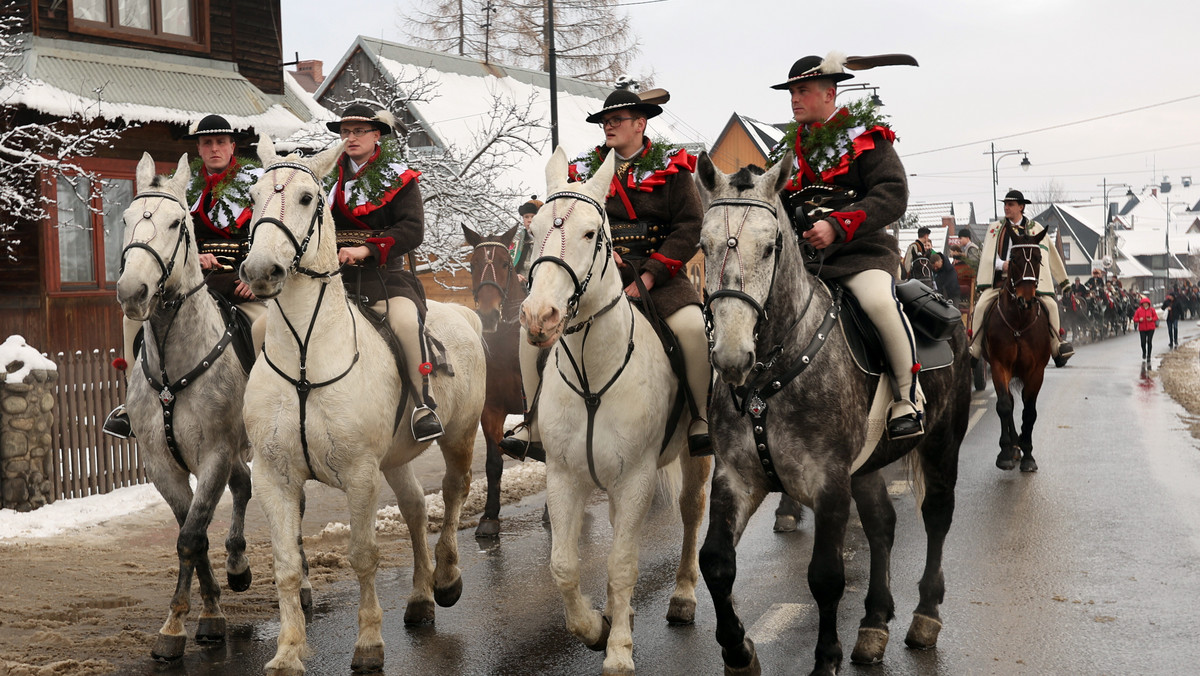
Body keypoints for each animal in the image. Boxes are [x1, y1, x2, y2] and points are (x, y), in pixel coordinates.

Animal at [114, 151, 255, 662]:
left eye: (178, 224)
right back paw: (237, 565)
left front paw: (186, 622)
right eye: (125, 219)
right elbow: (192, 534)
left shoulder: (214, 454)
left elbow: (192, 535)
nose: (132, 291)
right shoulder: (163, 465)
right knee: (243, 486)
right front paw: (200, 614)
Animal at [238, 138, 487, 676]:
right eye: (253, 195)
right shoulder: (274, 475)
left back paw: (447, 578)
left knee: (453, 494)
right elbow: (287, 566)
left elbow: (363, 555)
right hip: (394, 459)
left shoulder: (359, 473)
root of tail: (465, 316)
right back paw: (419, 599)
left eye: (308, 197)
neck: (307, 355)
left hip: (459, 436)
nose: (260, 271)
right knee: (415, 509)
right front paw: (287, 650)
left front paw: (369, 643)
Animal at [523, 148, 710, 676]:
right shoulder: (565, 476)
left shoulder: (636, 479)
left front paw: (619, 651)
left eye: (592, 233)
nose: (538, 316)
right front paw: (595, 629)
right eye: (533, 230)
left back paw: (682, 597)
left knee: (692, 513)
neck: (594, 375)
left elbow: (623, 564)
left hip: (696, 456)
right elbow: (564, 566)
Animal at [984, 230, 1051, 473]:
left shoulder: (1036, 371)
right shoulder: (999, 365)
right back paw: (1013, 446)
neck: (1019, 323)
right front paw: (1006, 451)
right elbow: (1004, 405)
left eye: (1039, 258)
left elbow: (1029, 412)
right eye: (1013, 259)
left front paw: (1028, 454)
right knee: (1010, 402)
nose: (1025, 299)